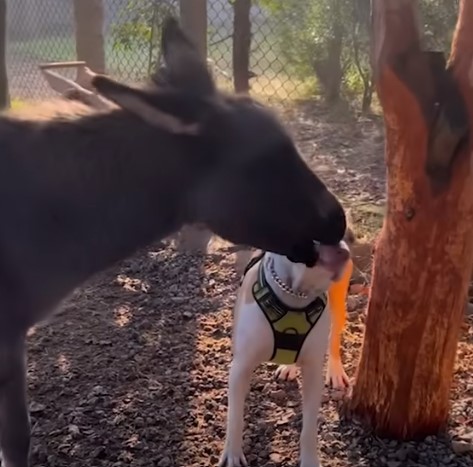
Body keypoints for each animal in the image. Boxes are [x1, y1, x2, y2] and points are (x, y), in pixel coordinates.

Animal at [219, 243, 348, 467]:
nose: (343, 252)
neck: (295, 293)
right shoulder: (240, 367)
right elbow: (235, 417)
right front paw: (233, 455)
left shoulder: (313, 374)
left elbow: (309, 427)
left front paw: (310, 460)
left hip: (338, 303)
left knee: (334, 339)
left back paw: (335, 371)